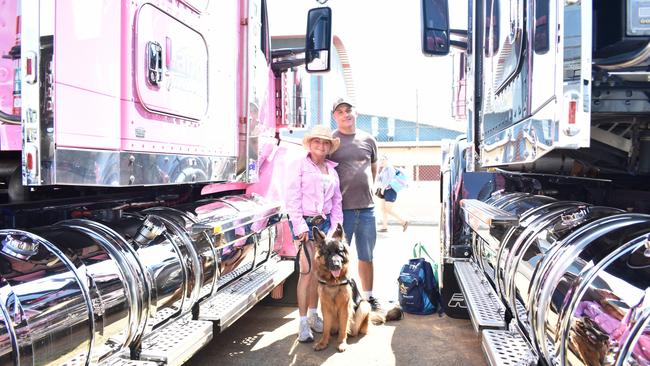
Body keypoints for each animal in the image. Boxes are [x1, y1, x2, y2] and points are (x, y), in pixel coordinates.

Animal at [310, 223, 400, 352]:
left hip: (364, 306)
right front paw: (323, 342)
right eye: (327, 252)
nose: (336, 265)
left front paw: (341, 343)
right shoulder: (325, 307)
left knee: (354, 330)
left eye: (340, 251)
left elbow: (343, 327)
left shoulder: (345, 307)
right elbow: (326, 327)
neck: (333, 282)